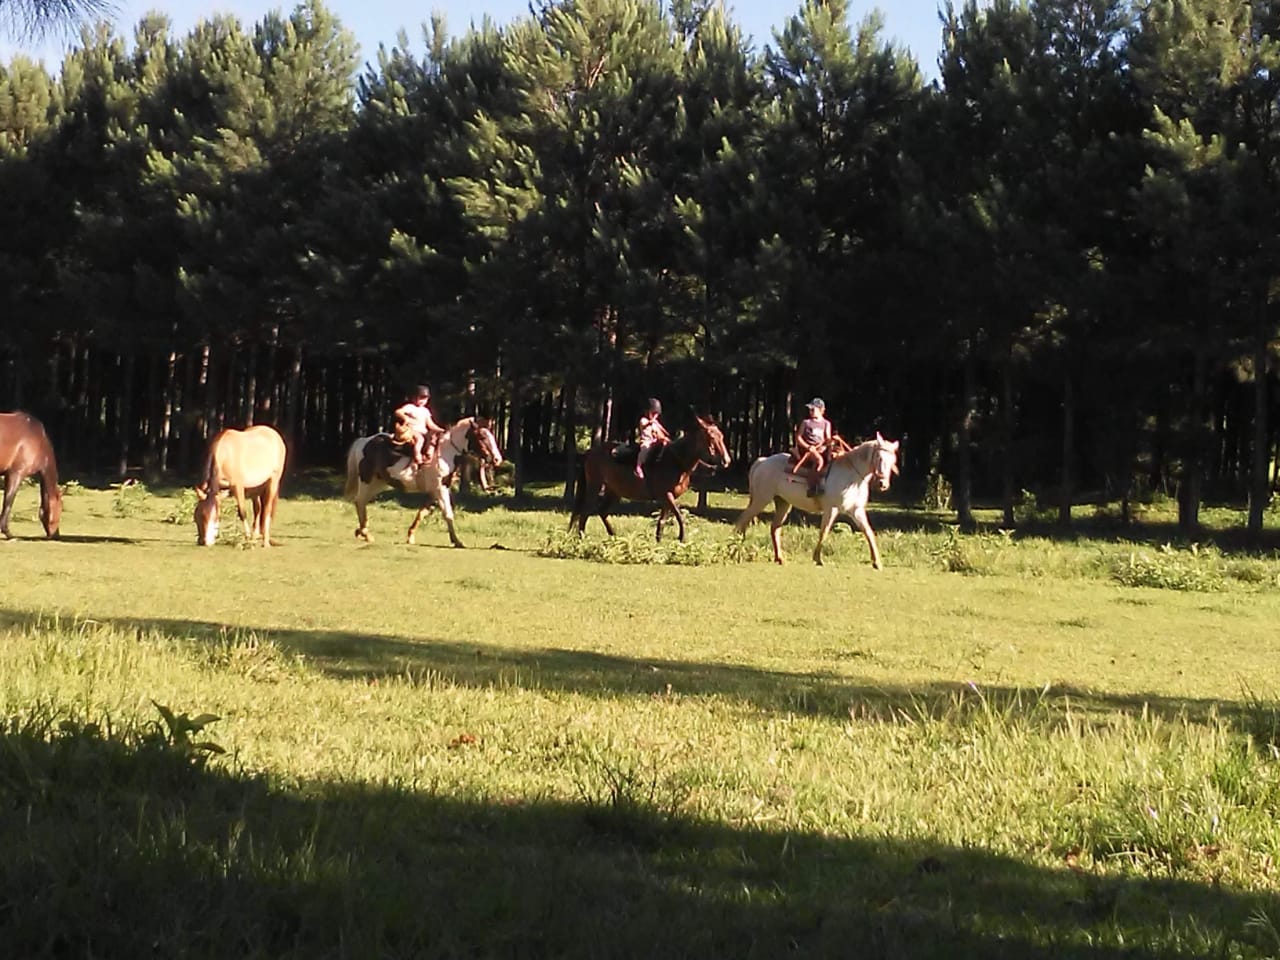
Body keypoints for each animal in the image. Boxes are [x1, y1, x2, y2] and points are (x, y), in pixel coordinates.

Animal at [343, 414, 501, 547]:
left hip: (378, 482)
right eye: (482, 436)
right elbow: (448, 514)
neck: (445, 452)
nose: (496, 459)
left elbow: (422, 512)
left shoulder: (434, 490)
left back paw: (361, 531)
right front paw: (457, 541)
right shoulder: (440, 489)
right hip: (367, 480)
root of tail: (363, 441)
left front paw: (410, 536)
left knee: (361, 502)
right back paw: (365, 534)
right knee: (360, 501)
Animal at [570, 414, 732, 545]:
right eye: (711, 438)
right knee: (585, 512)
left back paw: (614, 537)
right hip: (595, 486)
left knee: (602, 511)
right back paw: (582, 539)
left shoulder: (667, 499)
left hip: (614, 491)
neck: (675, 461)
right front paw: (682, 539)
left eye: (722, 436)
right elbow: (679, 516)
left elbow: (662, 521)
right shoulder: (667, 495)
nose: (726, 460)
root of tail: (590, 452)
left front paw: (658, 543)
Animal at [732, 435, 901, 570]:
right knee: (742, 520)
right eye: (879, 458)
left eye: (893, 460)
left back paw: (779, 558)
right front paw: (818, 559)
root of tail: (763, 461)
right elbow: (824, 531)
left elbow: (869, 532)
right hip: (761, 499)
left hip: (783, 503)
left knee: (774, 528)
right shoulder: (832, 509)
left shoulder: (856, 510)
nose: (883, 484)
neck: (852, 475)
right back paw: (734, 552)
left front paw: (877, 563)